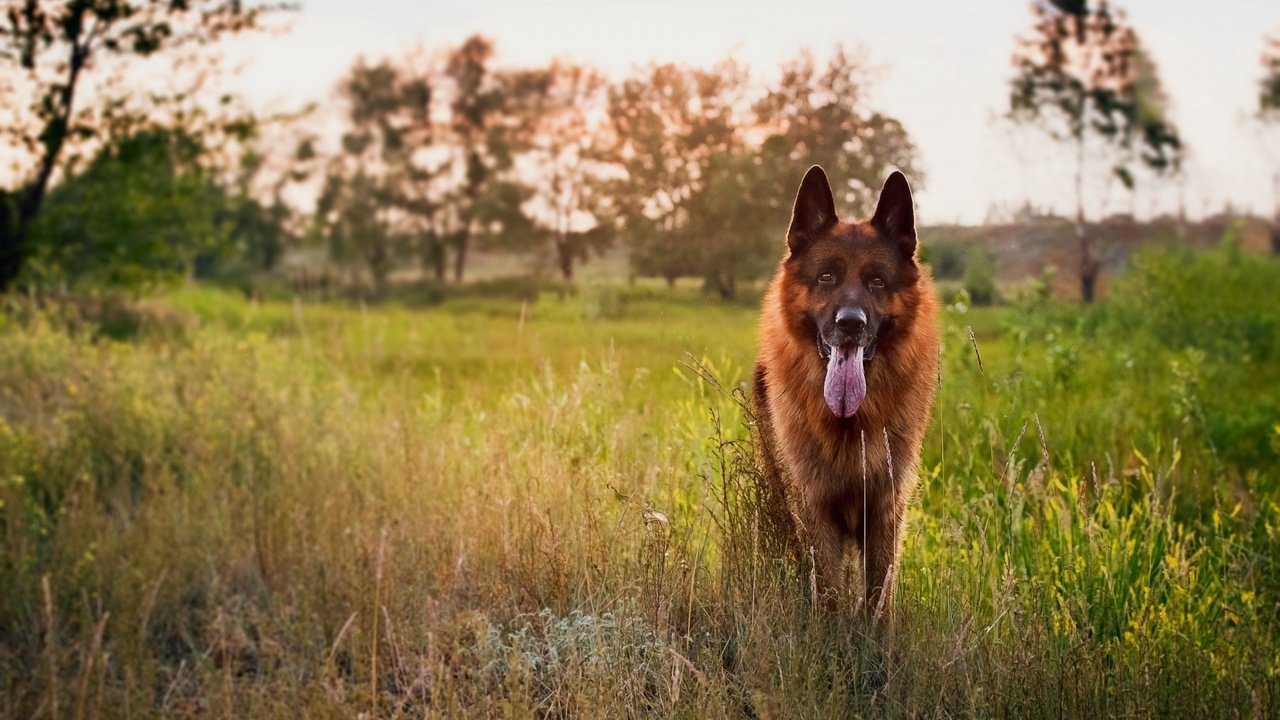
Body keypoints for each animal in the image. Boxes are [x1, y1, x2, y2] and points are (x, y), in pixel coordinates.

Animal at [747, 166, 942, 617]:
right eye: (826, 277)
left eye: (876, 281)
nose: (850, 323)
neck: (852, 423)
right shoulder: (816, 511)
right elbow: (831, 594)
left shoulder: (886, 512)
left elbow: (878, 599)